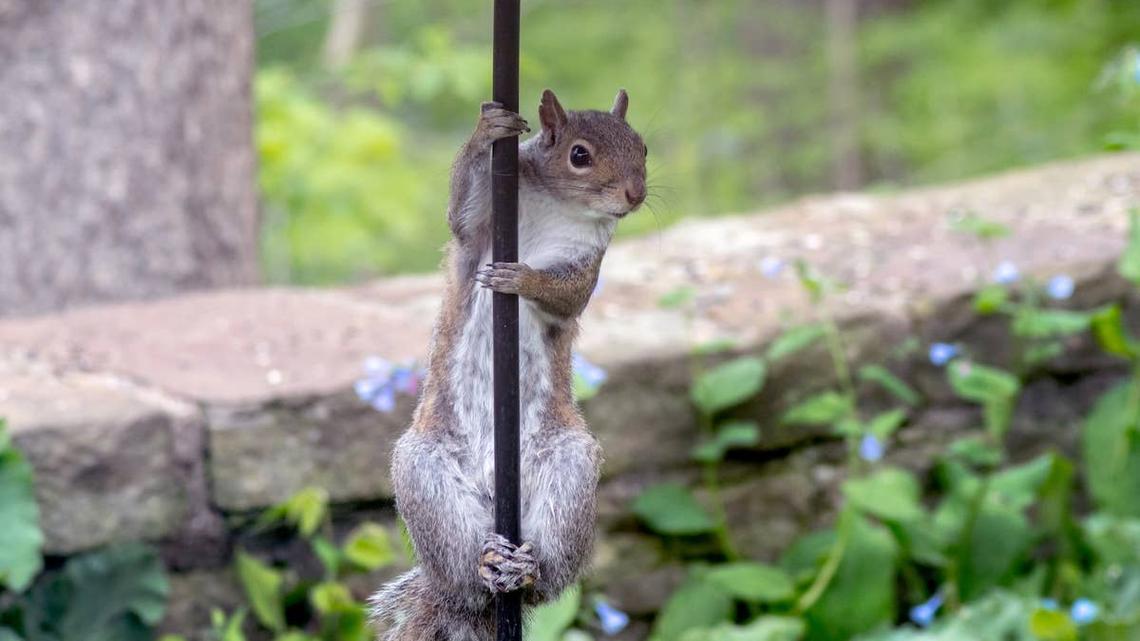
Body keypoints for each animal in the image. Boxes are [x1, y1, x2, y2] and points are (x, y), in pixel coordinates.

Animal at [369, 88, 647, 640]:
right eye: (579, 155)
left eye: (643, 146)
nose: (635, 194)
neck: (561, 206)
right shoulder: (479, 230)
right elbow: (460, 212)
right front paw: (488, 129)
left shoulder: (588, 260)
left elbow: (567, 294)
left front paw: (523, 280)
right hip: (424, 477)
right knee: (462, 564)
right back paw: (484, 564)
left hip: (569, 473)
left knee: (548, 575)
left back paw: (528, 569)